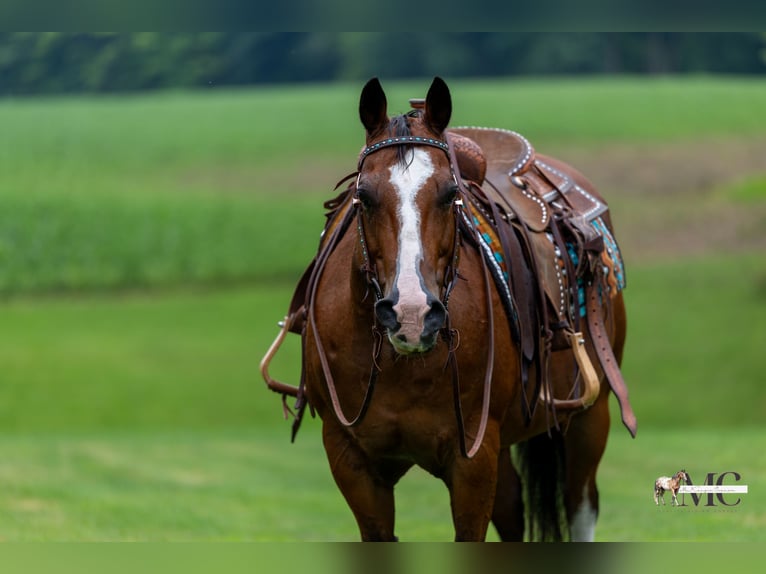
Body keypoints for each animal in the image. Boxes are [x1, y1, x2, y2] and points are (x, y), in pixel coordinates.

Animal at [261, 77, 636, 541]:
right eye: (363, 195)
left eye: (451, 193)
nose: (412, 315)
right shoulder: (352, 462)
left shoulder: (473, 459)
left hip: (590, 416)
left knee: (581, 505)